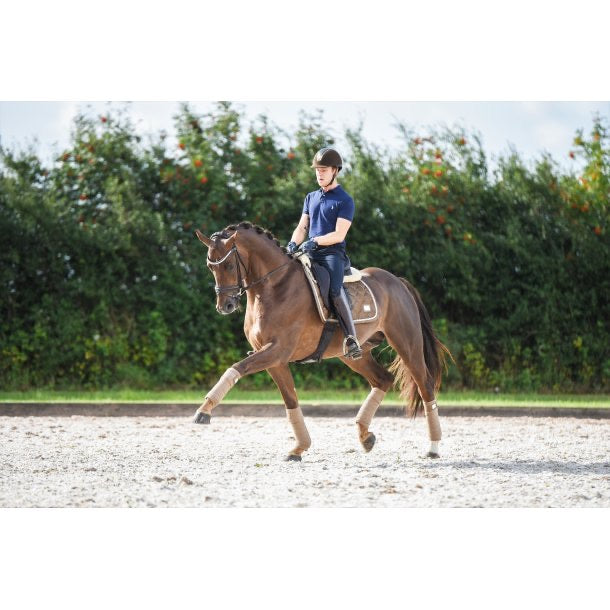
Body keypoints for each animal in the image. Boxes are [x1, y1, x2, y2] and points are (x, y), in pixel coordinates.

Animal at [192, 221, 448, 458]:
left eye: (228, 264)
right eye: (209, 266)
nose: (225, 306)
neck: (274, 286)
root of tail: (397, 281)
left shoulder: (277, 350)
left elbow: (237, 367)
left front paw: (203, 411)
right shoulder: (274, 359)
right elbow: (290, 401)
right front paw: (299, 448)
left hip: (407, 344)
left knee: (425, 386)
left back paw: (433, 447)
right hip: (354, 355)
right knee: (383, 379)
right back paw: (365, 436)